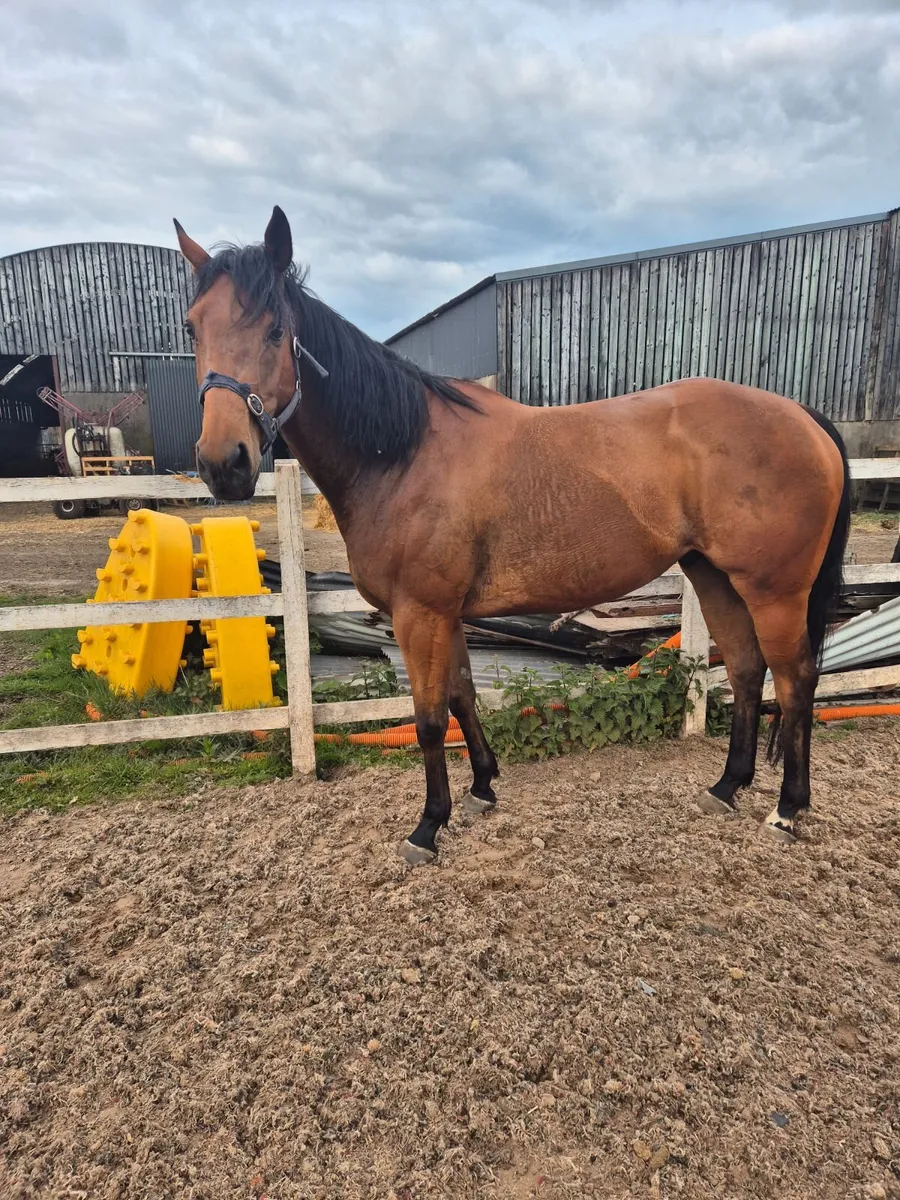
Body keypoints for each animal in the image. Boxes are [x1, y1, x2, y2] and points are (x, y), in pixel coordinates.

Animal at [175, 206, 850, 866]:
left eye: (273, 330)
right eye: (191, 328)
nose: (224, 463)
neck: (403, 453)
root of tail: (803, 416)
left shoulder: (420, 613)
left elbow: (428, 718)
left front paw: (428, 827)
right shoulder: (447, 614)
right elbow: (462, 697)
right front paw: (481, 788)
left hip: (775, 591)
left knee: (795, 682)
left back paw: (787, 809)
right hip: (716, 578)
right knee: (746, 670)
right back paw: (727, 787)